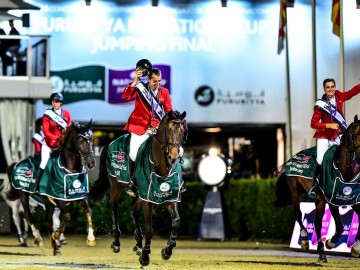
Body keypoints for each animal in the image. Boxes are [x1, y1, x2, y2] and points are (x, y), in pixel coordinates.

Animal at [5, 122, 95, 255]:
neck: (70, 168)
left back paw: (55, 247)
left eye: (91, 139)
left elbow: (88, 210)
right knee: (27, 216)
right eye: (81, 140)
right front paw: (57, 234)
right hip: (24, 195)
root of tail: (16, 164)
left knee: (47, 220)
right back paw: (38, 238)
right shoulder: (58, 198)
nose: (91, 163)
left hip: (47, 202)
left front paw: (91, 238)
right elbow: (67, 216)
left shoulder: (79, 196)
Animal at [89, 109, 187, 266]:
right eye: (168, 129)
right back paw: (117, 242)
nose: (173, 156)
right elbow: (149, 229)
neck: (162, 166)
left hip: (139, 193)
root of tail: (112, 142)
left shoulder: (170, 196)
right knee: (114, 208)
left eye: (182, 131)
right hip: (116, 185)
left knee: (133, 210)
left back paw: (138, 242)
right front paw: (145, 256)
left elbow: (176, 222)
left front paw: (167, 250)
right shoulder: (148, 199)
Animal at [276, 114, 360, 262]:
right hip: (295, 191)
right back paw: (306, 242)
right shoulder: (330, 199)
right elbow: (339, 227)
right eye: (356, 135)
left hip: (319, 199)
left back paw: (321, 251)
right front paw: (330, 243)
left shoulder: (352, 199)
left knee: (318, 222)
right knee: (299, 214)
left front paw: (355, 248)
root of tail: (291, 158)